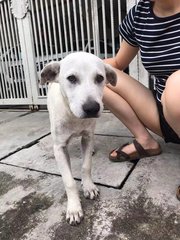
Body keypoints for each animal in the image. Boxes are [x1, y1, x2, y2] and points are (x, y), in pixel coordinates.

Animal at [40, 51, 116, 225]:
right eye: (72, 78)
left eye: (100, 78)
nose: (91, 108)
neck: (73, 116)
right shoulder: (60, 147)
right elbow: (69, 181)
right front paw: (74, 208)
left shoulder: (87, 137)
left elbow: (86, 166)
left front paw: (88, 187)